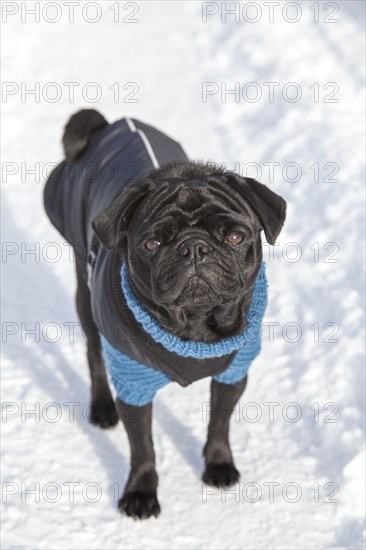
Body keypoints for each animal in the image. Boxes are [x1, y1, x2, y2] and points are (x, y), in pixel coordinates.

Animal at [43, 110, 286, 520]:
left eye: (235, 237)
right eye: (153, 243)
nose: (195, 248)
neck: (195, 326)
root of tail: (110, 125)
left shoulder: (234, 372)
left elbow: (220, 421)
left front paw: (218, 464)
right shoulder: (134, 383)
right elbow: (142, 445)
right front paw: (141, 492)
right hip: (86, 298)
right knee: (94, 352)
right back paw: (102, 408)